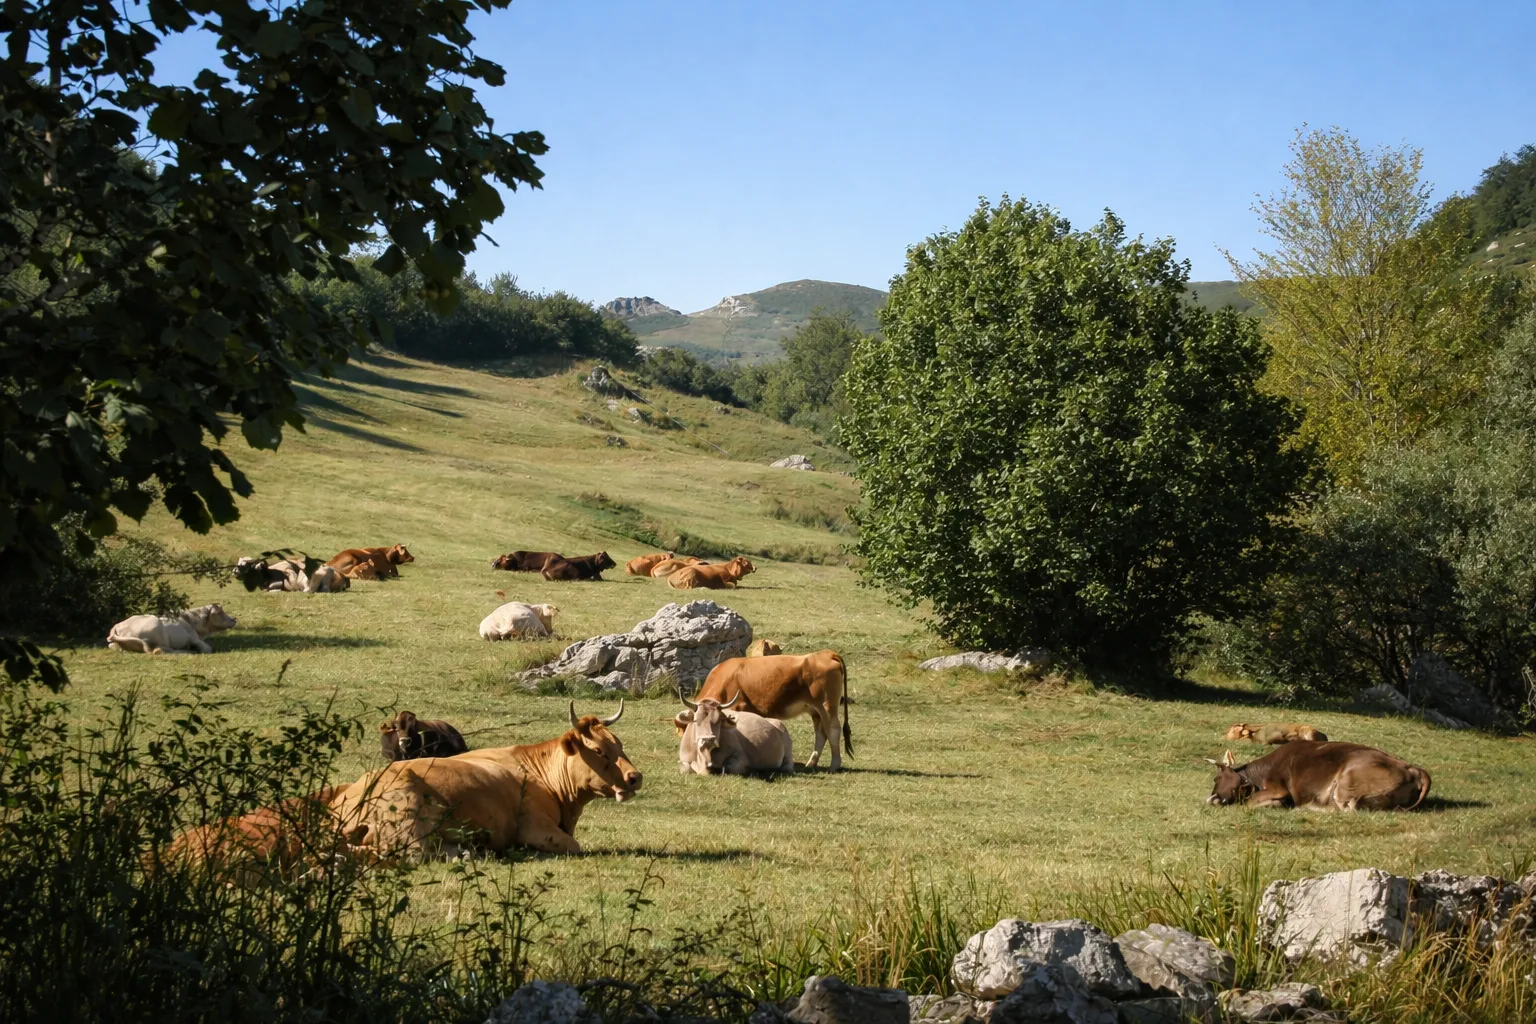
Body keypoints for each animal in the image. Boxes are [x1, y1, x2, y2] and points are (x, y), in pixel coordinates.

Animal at [107, 604, 238, 654]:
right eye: (220, 612)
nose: (234, 619)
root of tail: (117, 626)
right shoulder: (194, 639)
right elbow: (208, 649)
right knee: (158, 650)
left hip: (114, 644)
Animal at [330, 702, 641, 859]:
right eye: (599, 750)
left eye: (619, 745)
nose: (635, 777)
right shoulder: (535, 828)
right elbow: (573, 846)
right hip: (407, 815)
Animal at [694, 650, 851, 770]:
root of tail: (826, 653)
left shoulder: (738, 708)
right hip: (816, 710)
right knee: (821, 733)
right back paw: (811, 764)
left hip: (826, 706)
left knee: (833, 730)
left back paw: (834, 765)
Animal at [1206, 741, 1431, 811]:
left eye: (1217, 779)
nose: (1210, 799)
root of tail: (1413, 768)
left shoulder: (1277, 787)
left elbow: (1250, 801)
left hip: (1346, 785)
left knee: (1348, 808)